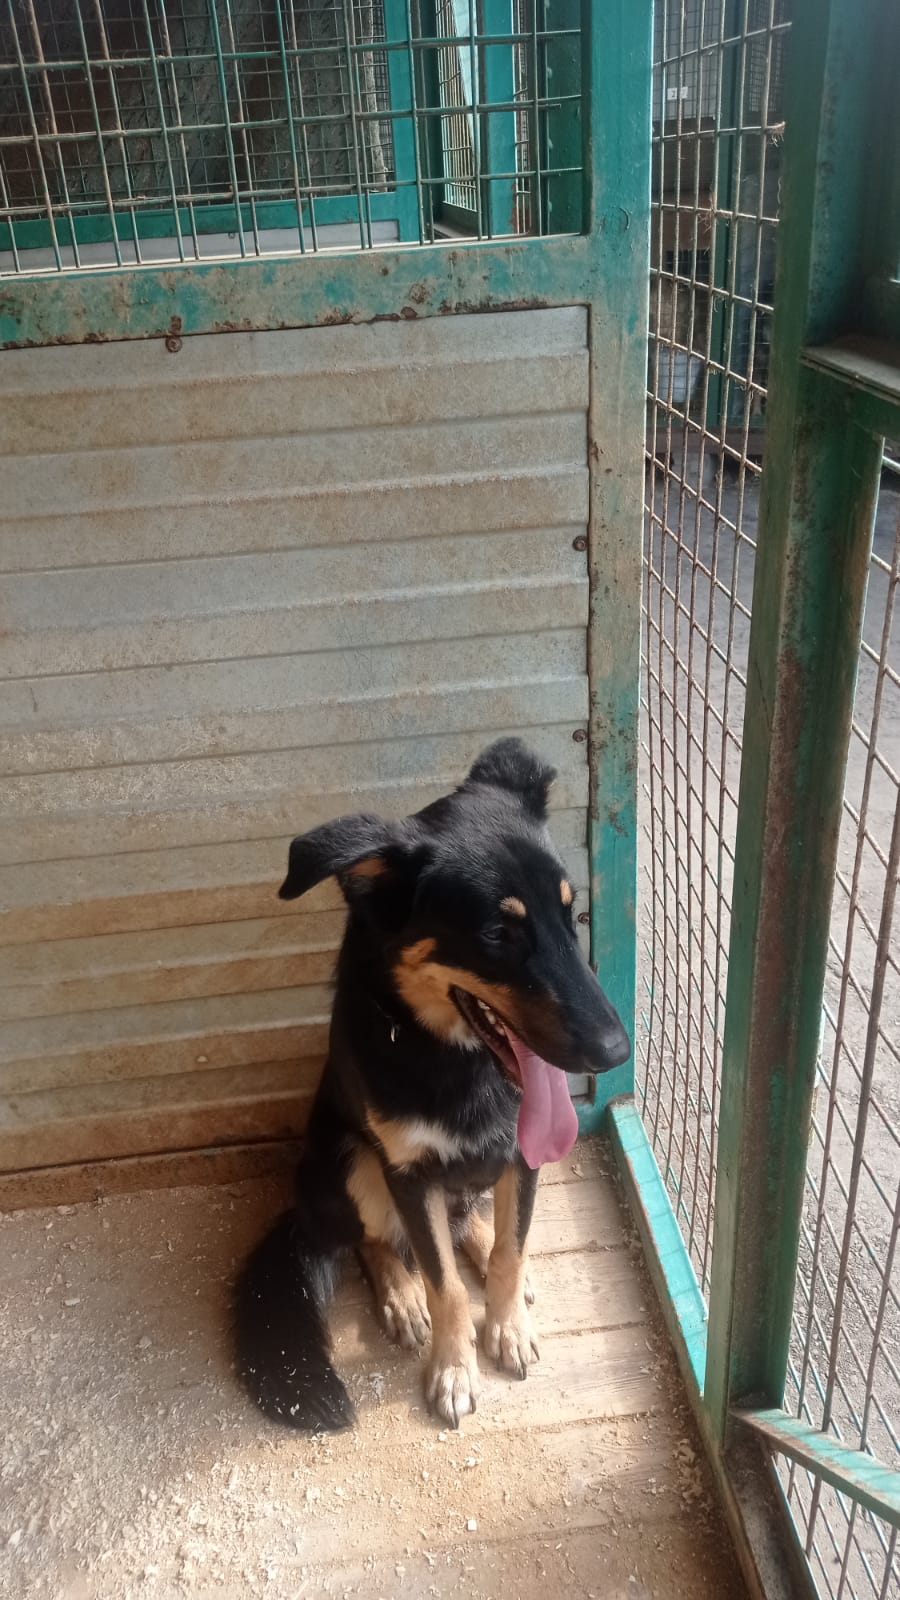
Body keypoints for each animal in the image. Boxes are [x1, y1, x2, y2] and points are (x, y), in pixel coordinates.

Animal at [234, 738, 630, 1431]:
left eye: (571, 913)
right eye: (498, 934)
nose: (617, 1051)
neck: (456, 1056)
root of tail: (302, 1212)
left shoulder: (522, 1154)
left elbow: (509, 1251)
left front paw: (506, 1322)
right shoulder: (408, 1173)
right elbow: (444, 1286)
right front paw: (452, 1369)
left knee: (472, 1219)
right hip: (349, 1161)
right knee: (373, 1241)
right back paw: (401, 1294)